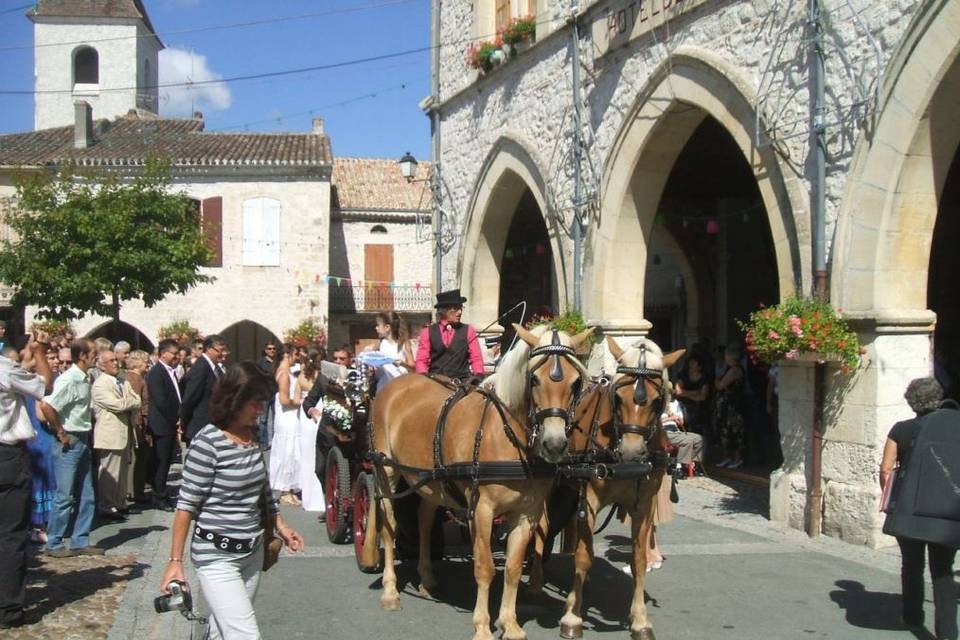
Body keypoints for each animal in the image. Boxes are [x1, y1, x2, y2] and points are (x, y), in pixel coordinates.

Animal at [368, 324, 592, 640]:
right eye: (534, 378)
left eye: (575, 383)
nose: (555, 445)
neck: (506, 435)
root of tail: (397, 384)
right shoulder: (482, 510)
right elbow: (485, 568)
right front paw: (483, 626)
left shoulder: (527, 512)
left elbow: (512, 568)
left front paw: (510, 623)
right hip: (385, 470)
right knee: (389, 526)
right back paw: (390, 591)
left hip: (432, 481)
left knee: (424, 519)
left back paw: (427, 578)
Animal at [532, 336, 684, 640]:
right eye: (618, 397)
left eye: (657, 400)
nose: (631, 453)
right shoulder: (588, 499)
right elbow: (582, 556)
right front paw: (572, 617)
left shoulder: (644, 505)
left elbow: (639, 559)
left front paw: (640, 620)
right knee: (541, 529)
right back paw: (535, 581)